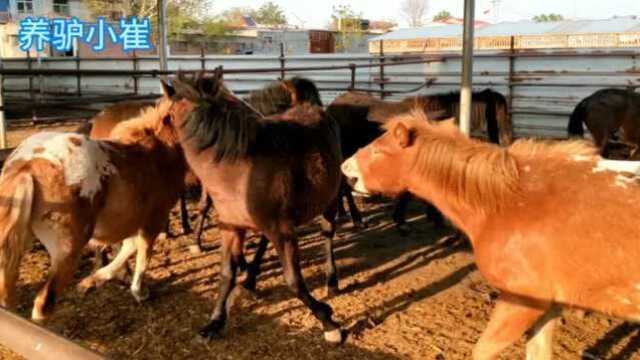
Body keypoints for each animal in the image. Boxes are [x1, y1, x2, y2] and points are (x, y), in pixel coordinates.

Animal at [0, 95, 188, 320]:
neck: (160, 153)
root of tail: (29, 167)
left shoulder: (132, 221)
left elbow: (129, 246)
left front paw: (93, 280)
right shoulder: (153, 220)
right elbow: (142, 255)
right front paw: (139, 292)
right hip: (67, 250)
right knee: (43, 303)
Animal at [164, 70, 344, 344]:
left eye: (167, 118)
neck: (240, 170)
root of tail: (309, 106)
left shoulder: (283, 231)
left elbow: (294, 280)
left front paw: (328, 322)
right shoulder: (231, 228)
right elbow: (226, 274)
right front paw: (214, 323)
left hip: (329, 202)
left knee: (327, 234)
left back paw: (331, 280)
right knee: (263, 242)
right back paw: (250, 279)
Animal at [342, 111, 640, 358]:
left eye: (378, 151)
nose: (345, 168)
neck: (510, 201)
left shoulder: (521, 304)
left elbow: (482, 351)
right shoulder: (549, 305)